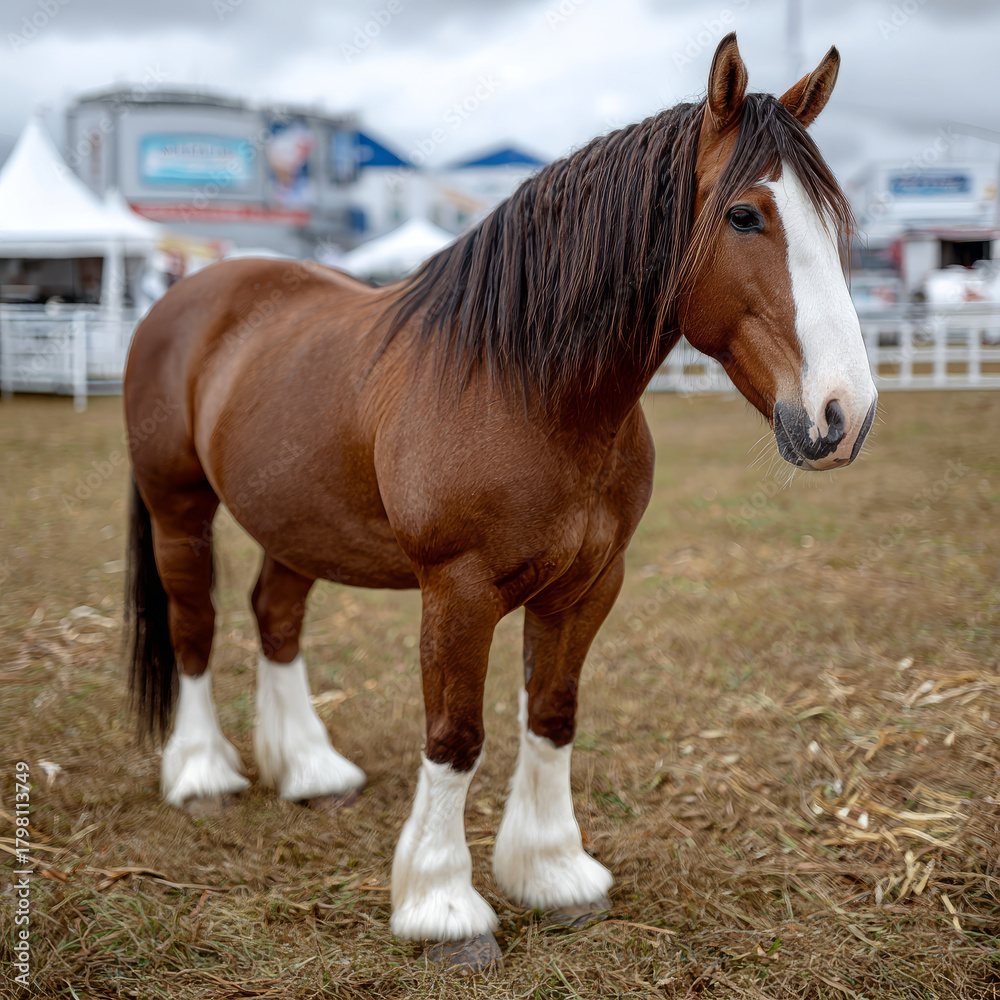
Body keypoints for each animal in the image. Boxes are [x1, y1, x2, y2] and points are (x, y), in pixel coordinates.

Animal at [123, 33, 876, 971]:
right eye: (745, 216)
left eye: (838, 223)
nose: (844, 415)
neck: (526, 388)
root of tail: (188, 295)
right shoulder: (459, 590)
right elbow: (455, 737)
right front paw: (443, 908)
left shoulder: (588, 585)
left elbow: (551, 716)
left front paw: (553, 875)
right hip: (178, 508)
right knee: (194, 624)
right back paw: (201, 774)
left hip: (294, 522)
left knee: (275, 617)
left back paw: (309, 770)